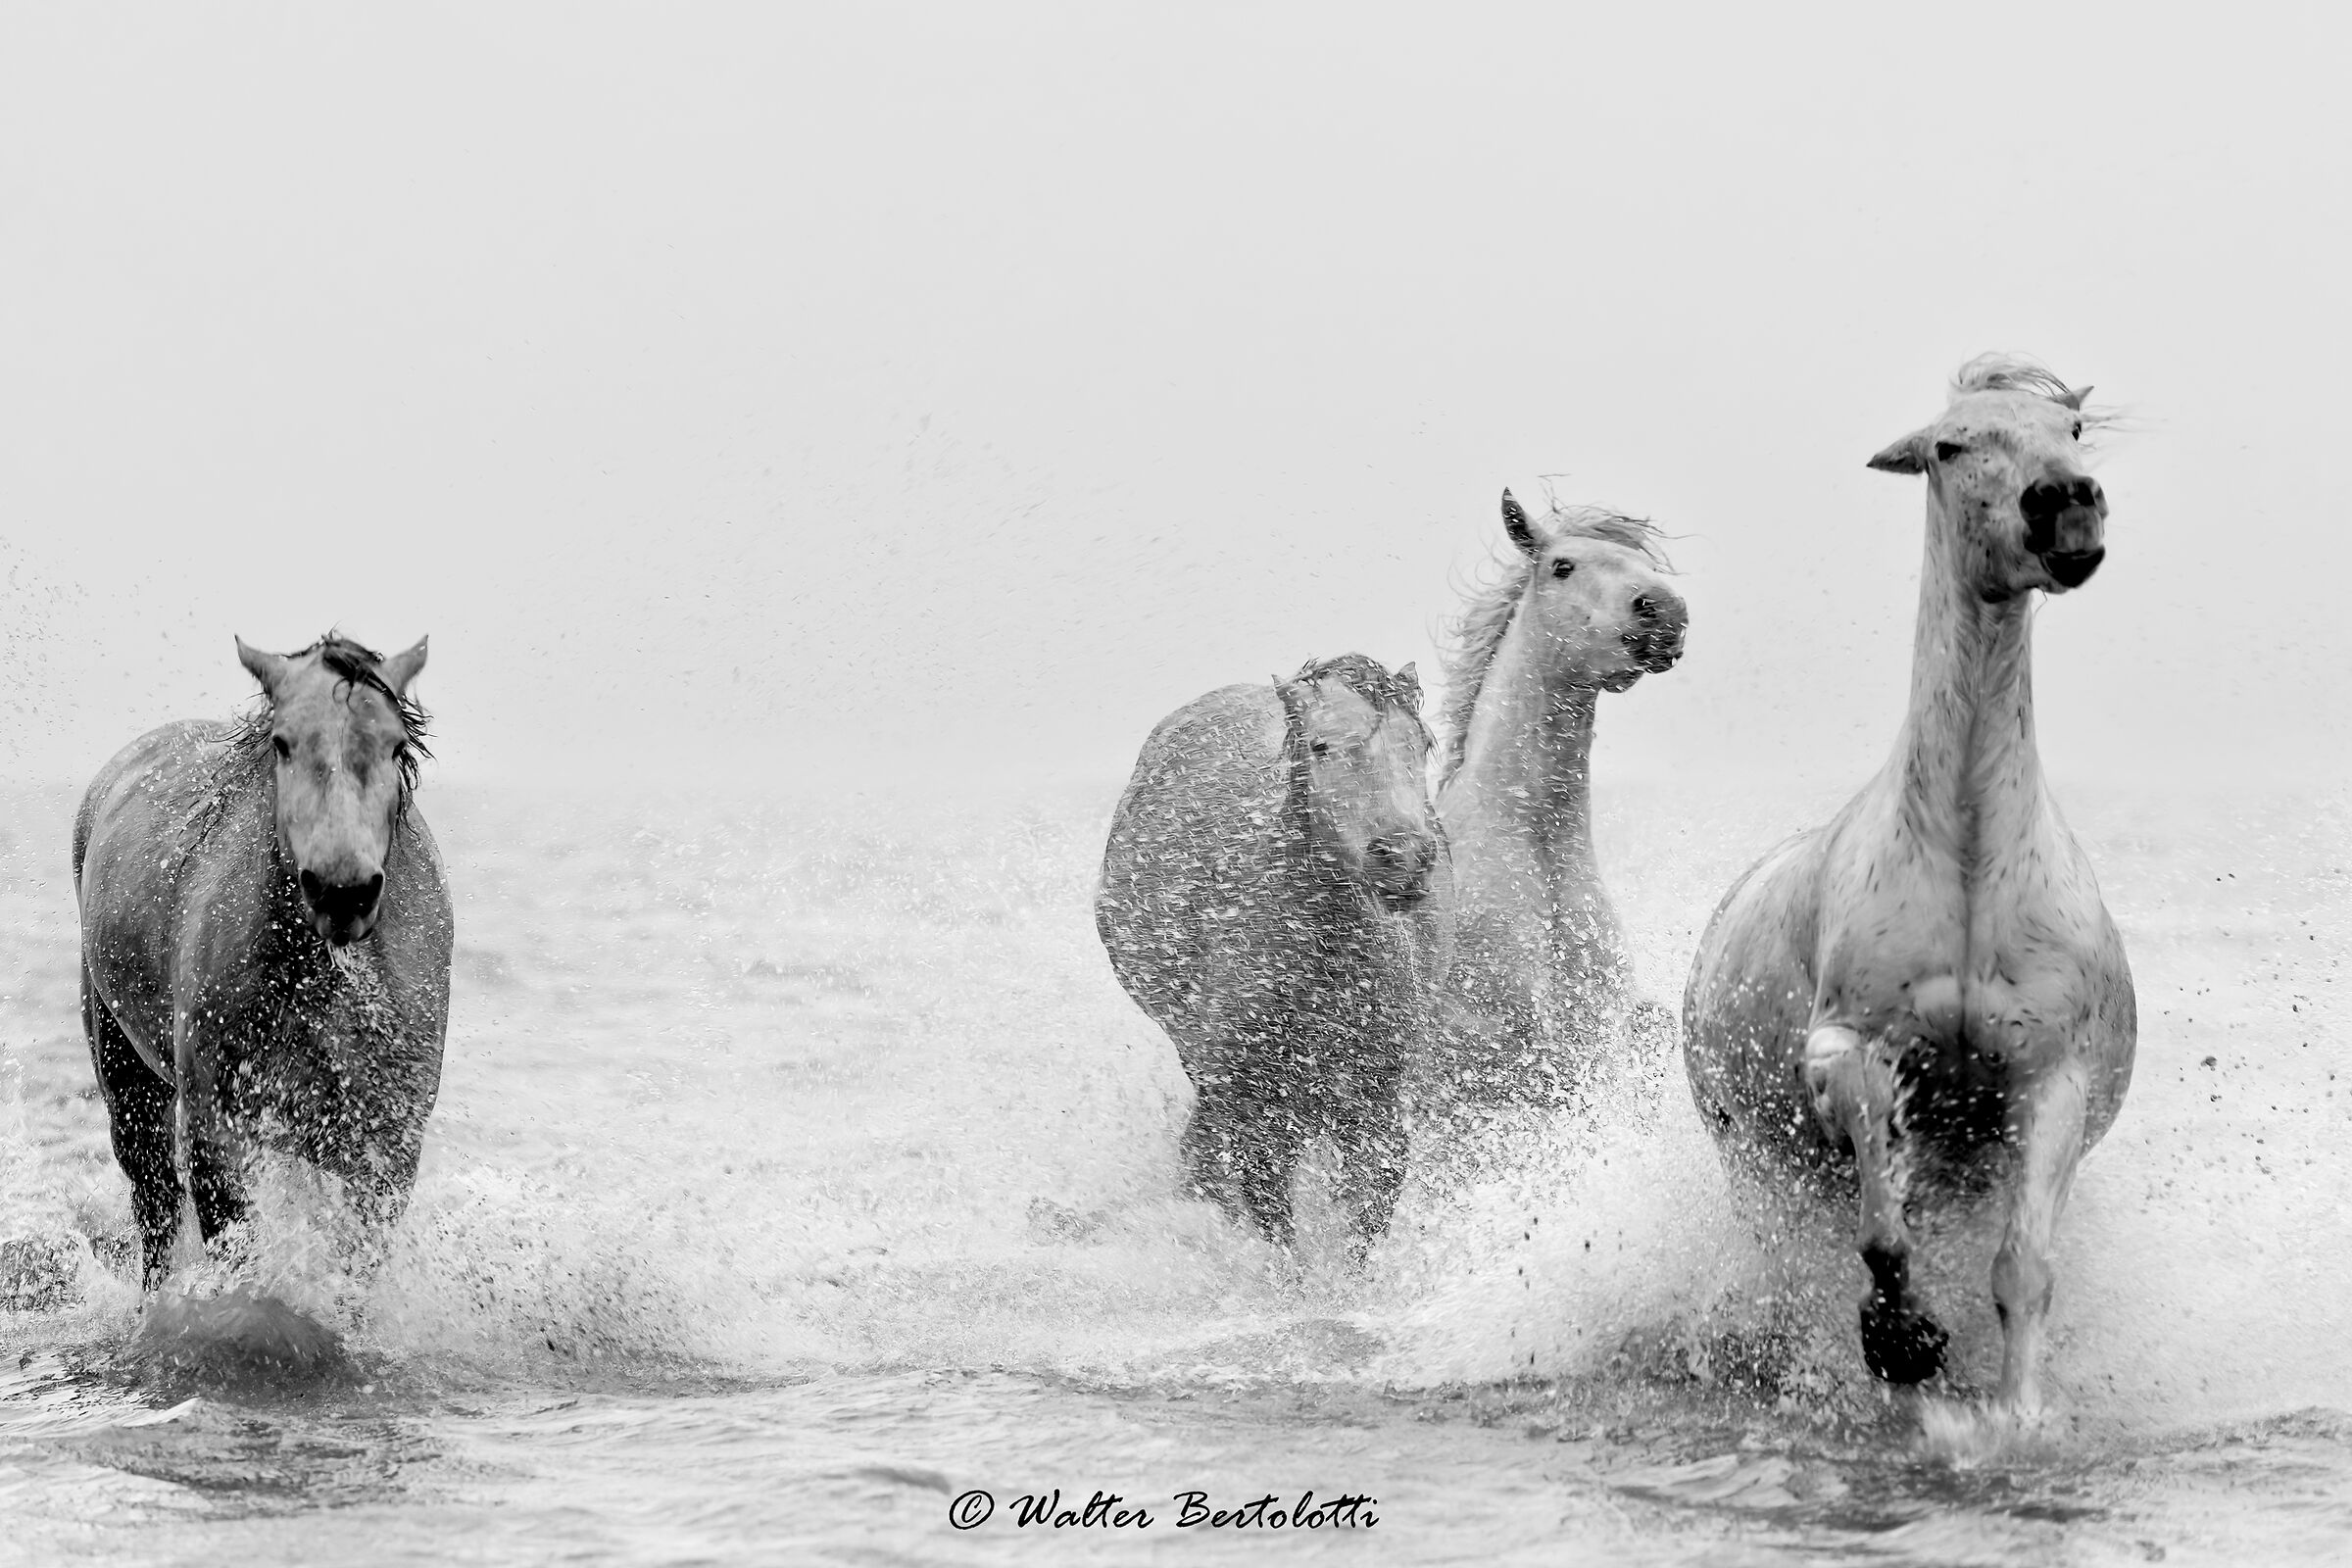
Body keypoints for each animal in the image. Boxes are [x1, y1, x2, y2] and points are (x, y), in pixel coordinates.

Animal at [75, 634, 454, 1292]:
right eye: (282, 742)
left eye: (393, 744)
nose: (342, 891)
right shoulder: (215, 1127)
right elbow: (233, 1246)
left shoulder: (386, 1140)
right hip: (126, 1080)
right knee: (155, 1206)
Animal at [1096, 654, 1449, 1250]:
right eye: (1322, 746)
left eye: (1421, 743)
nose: (1405, 858)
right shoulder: (1254, 1105)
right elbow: (1274, 1217)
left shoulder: (1374, 1097)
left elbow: (1369, 1203)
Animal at [1682, 355, 2134, 1417]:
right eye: (1949, 444)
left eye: (2072, 429)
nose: (2064, 504)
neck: (1969, 861)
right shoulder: (1855, 1053)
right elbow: (1882, 1237)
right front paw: (1904, 1343)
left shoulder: (2051, 1083)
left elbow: (2022, 1271)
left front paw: (2012, 1417)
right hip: (1762, 1169)